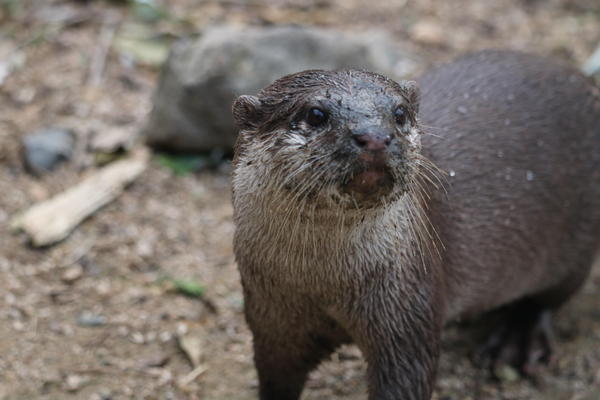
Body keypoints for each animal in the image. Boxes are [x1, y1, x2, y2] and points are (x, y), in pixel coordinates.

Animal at [230, 50, 600, 400]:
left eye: (399, 113)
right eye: (315, 114)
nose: (375, 136)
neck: (322, 284)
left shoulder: (409, 307)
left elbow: (407, 375)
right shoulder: (271, 321)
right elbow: (275, 376)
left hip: (576, 241)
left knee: (553, 295)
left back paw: (518, 338)